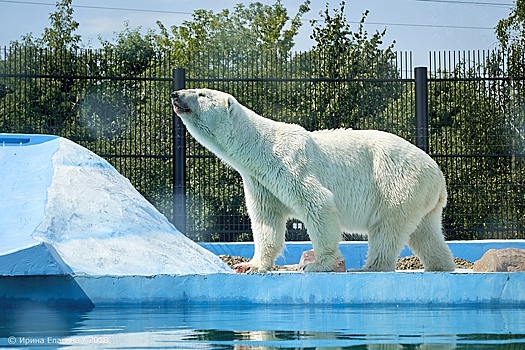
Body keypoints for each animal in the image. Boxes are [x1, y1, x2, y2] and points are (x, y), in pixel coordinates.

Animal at [171, 88, 454, 274]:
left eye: (201, 94)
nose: (175, 94)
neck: (262, 148)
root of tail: (439, 175)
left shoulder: (290, 163)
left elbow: (318, 203)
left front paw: (319, 264)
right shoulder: (259, 181)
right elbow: (266, 220)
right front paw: (249, 265)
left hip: (397, 183)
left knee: (387, 228)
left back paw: (372, 267)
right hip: (420, 196)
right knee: (425, 232)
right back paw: (441, 265)